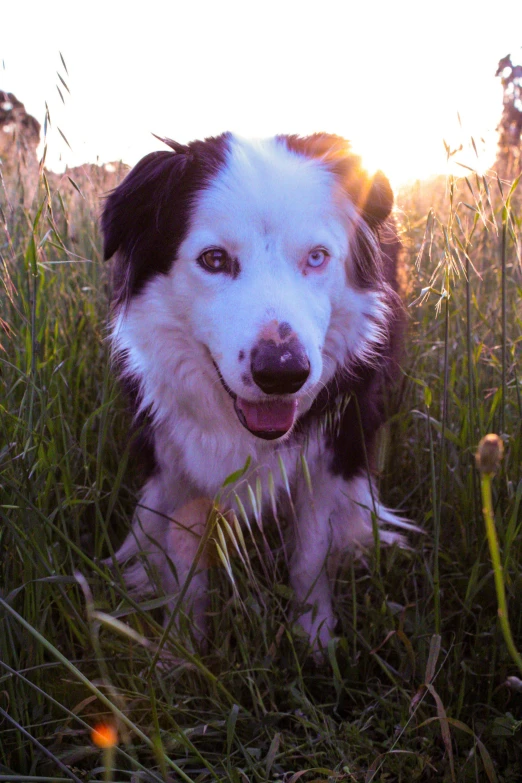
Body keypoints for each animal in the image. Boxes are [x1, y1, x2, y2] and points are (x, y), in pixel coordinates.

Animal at [101, 133, 412, 648]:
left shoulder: (332, 442)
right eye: (214, 259)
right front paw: (182, 647)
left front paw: (315, 638)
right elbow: (184, 556)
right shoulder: (175, 454)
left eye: (316, 257)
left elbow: (311, 549)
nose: (283, 373)